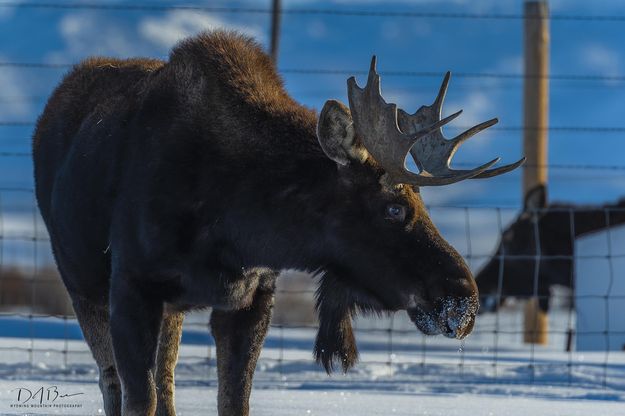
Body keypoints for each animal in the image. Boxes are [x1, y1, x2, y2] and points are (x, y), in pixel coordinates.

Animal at [33, 30, 520, 414]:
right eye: (394, 208)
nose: (464, 299)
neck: (238, 221)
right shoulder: (132, 286)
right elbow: (139, 399)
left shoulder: (252, 297)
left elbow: (233, 401)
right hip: (82, 285)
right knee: (111, 382)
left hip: (170, 310)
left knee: (167, 381)